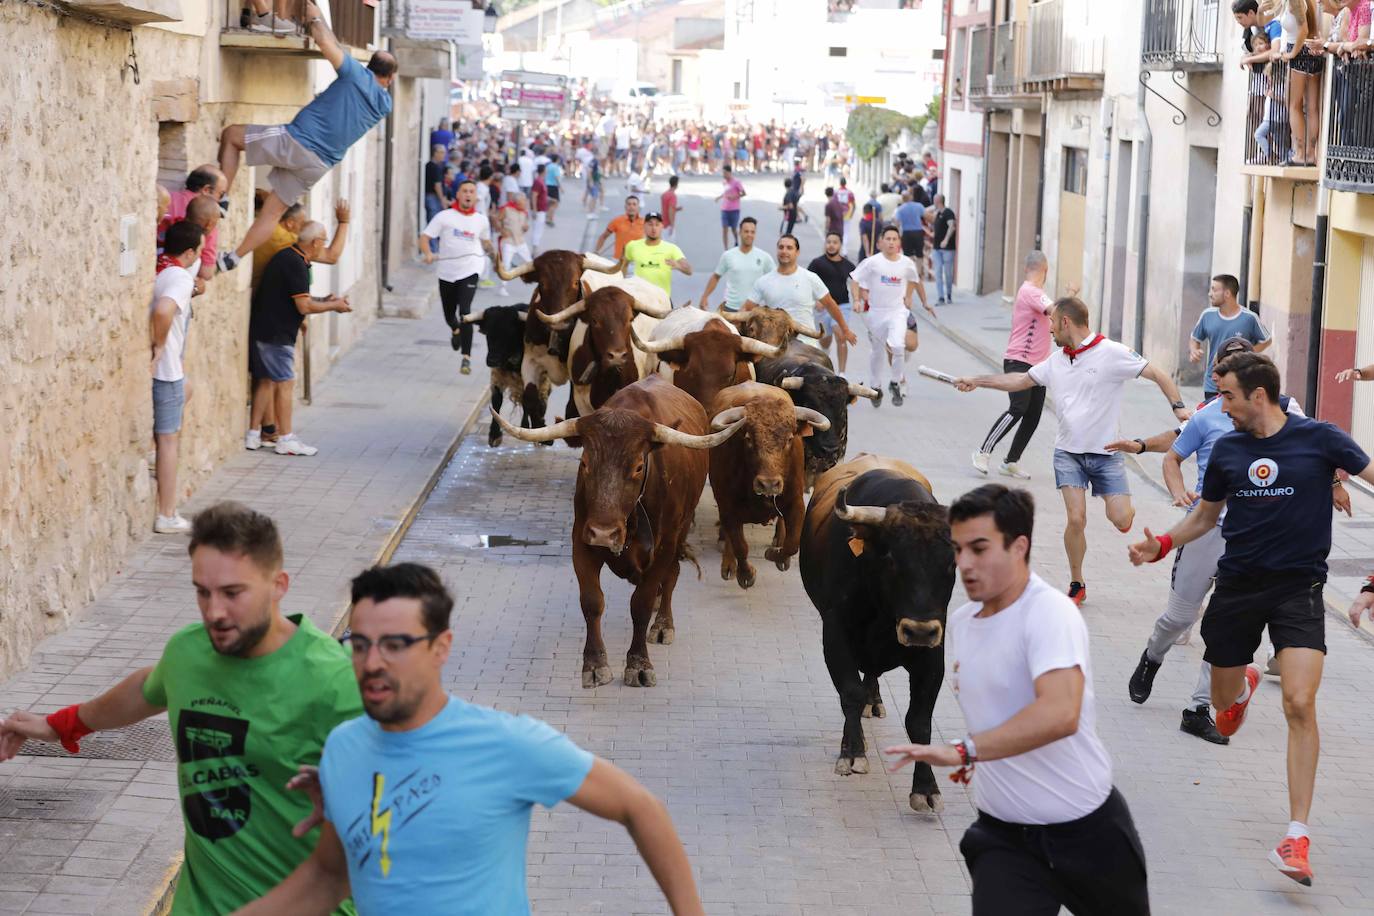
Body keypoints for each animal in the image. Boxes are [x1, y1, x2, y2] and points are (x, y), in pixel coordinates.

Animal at [489, 373, 736, 686]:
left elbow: (641, 603)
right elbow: (592, 602)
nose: (605, 534)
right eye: (584, 463)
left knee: (672, 575)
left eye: (639, 466)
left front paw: (639, 664)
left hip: (681, 530)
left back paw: (663, 624)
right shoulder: (581, 543)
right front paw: (595, 664)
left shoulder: (664, 547)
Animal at [708, 384, 824, 587]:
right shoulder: (727, 507)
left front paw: (776, 555)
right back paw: (729, 564)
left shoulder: (796, 502)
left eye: (789, 439)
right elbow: (740, 546)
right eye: (748, 439)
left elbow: (793, 544)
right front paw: (745, 574)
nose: (769, 484)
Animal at [796, 455, 956, 807]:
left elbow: (920, 720)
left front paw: (926, 787)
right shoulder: (835, 634)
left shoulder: (933, 653)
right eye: (893, 559)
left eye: (952, 564)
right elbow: (850, 694)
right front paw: (853, 752)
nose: (918, 631)